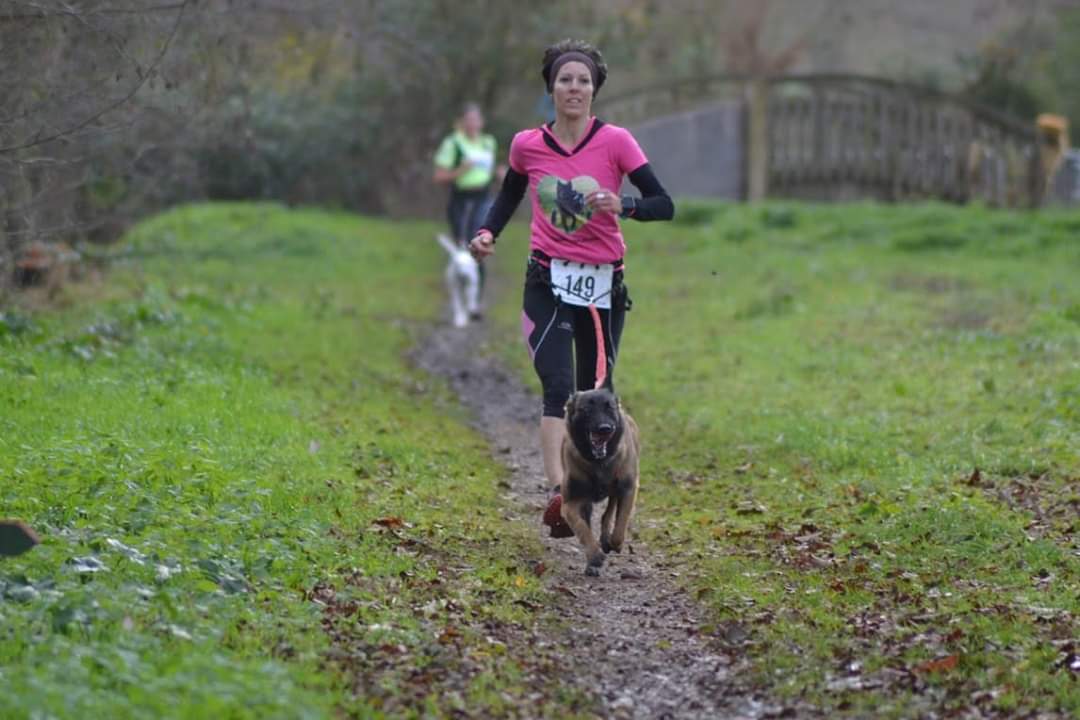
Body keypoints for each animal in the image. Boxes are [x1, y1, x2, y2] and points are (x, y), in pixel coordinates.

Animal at [561, 386, 635, 578]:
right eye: (587, 409)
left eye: (610, 408)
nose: (605, 429)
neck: (598, 463)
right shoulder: (571, 502)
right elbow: (581, 528)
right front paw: (594, 556)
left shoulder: (628, 488)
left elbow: (622, 519)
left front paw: (615, 542)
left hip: (616, 490)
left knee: (608, 513)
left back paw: (607, 539)